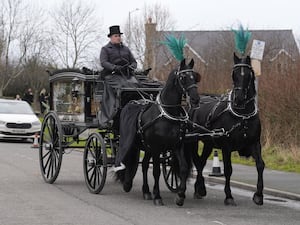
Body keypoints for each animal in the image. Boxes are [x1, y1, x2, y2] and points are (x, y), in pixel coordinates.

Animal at [117, 58, 199, 206]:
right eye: (183, 77)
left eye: (195, 77)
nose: (196, 99)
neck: (168, 114)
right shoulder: (156, 148)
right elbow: (156, 171)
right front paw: (158, 196)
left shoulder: (177, 145)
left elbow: (183, 168)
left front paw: (180, 195)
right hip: (133, 143)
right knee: (129, 159)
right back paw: (128, 184)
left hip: (146, 147)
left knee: (144, 165)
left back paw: (146, 191)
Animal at [188, 54, 264, 206]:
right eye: (234, 74)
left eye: (249, 74)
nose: (239, 98)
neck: (243, 115)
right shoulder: (226, 146)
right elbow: (228, 169)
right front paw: (229, 196)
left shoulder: (255, 143)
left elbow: (260, 165)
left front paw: (258, 195)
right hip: (193, 140)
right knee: (198, 162)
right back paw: (200, 188)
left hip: (209, 143)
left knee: (201, 162)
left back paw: (199, 189)